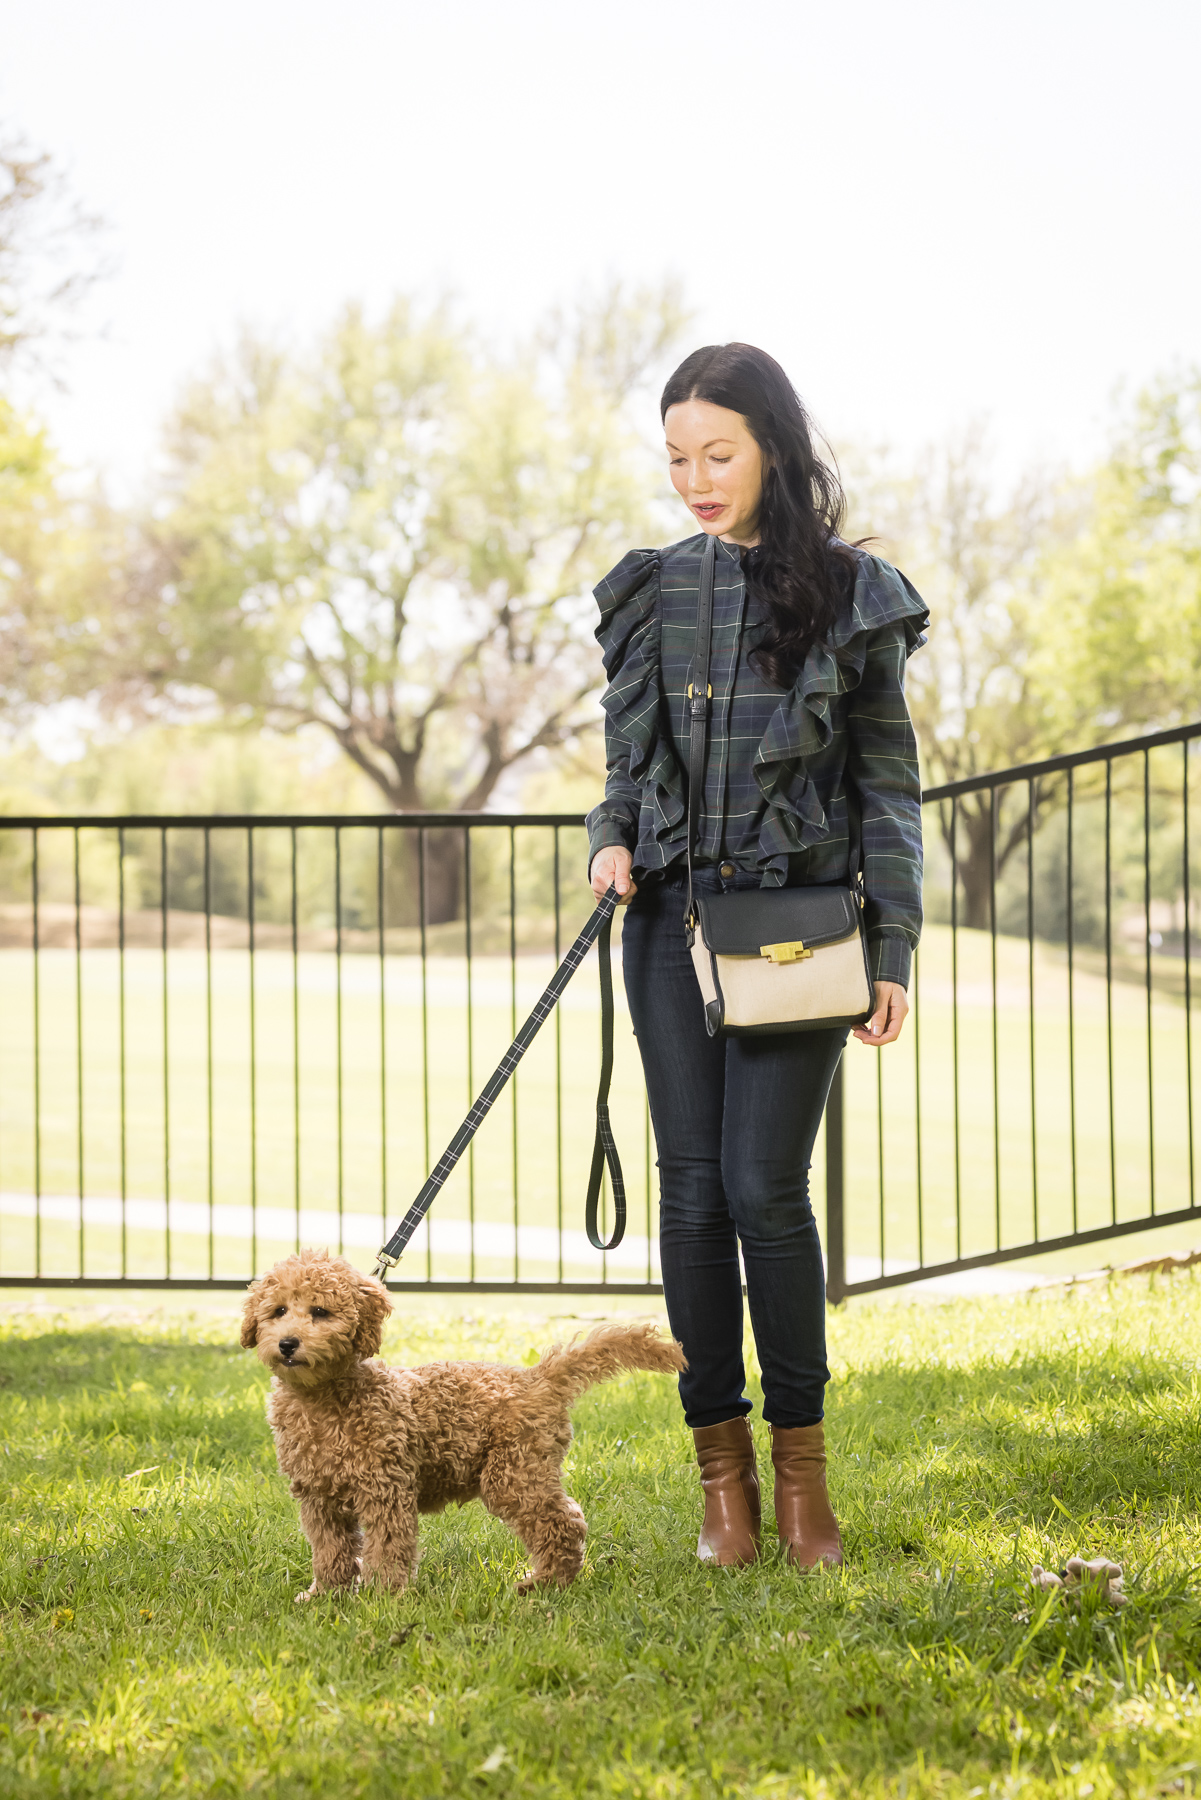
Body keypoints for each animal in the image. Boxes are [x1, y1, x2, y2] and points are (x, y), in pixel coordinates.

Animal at [244, 1245, 684, 1598]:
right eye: (278, 1311)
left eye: (320, 1312)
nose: (287, 1344)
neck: (322, 1400)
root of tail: (537, 1378)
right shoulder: (318, 1499)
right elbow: (330, 1552)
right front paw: (326, 1596)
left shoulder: (386, 1491)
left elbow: (387, 1549)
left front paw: (382, 1598)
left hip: (513, 1475)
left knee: (563, 1524)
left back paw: (544, 1585)